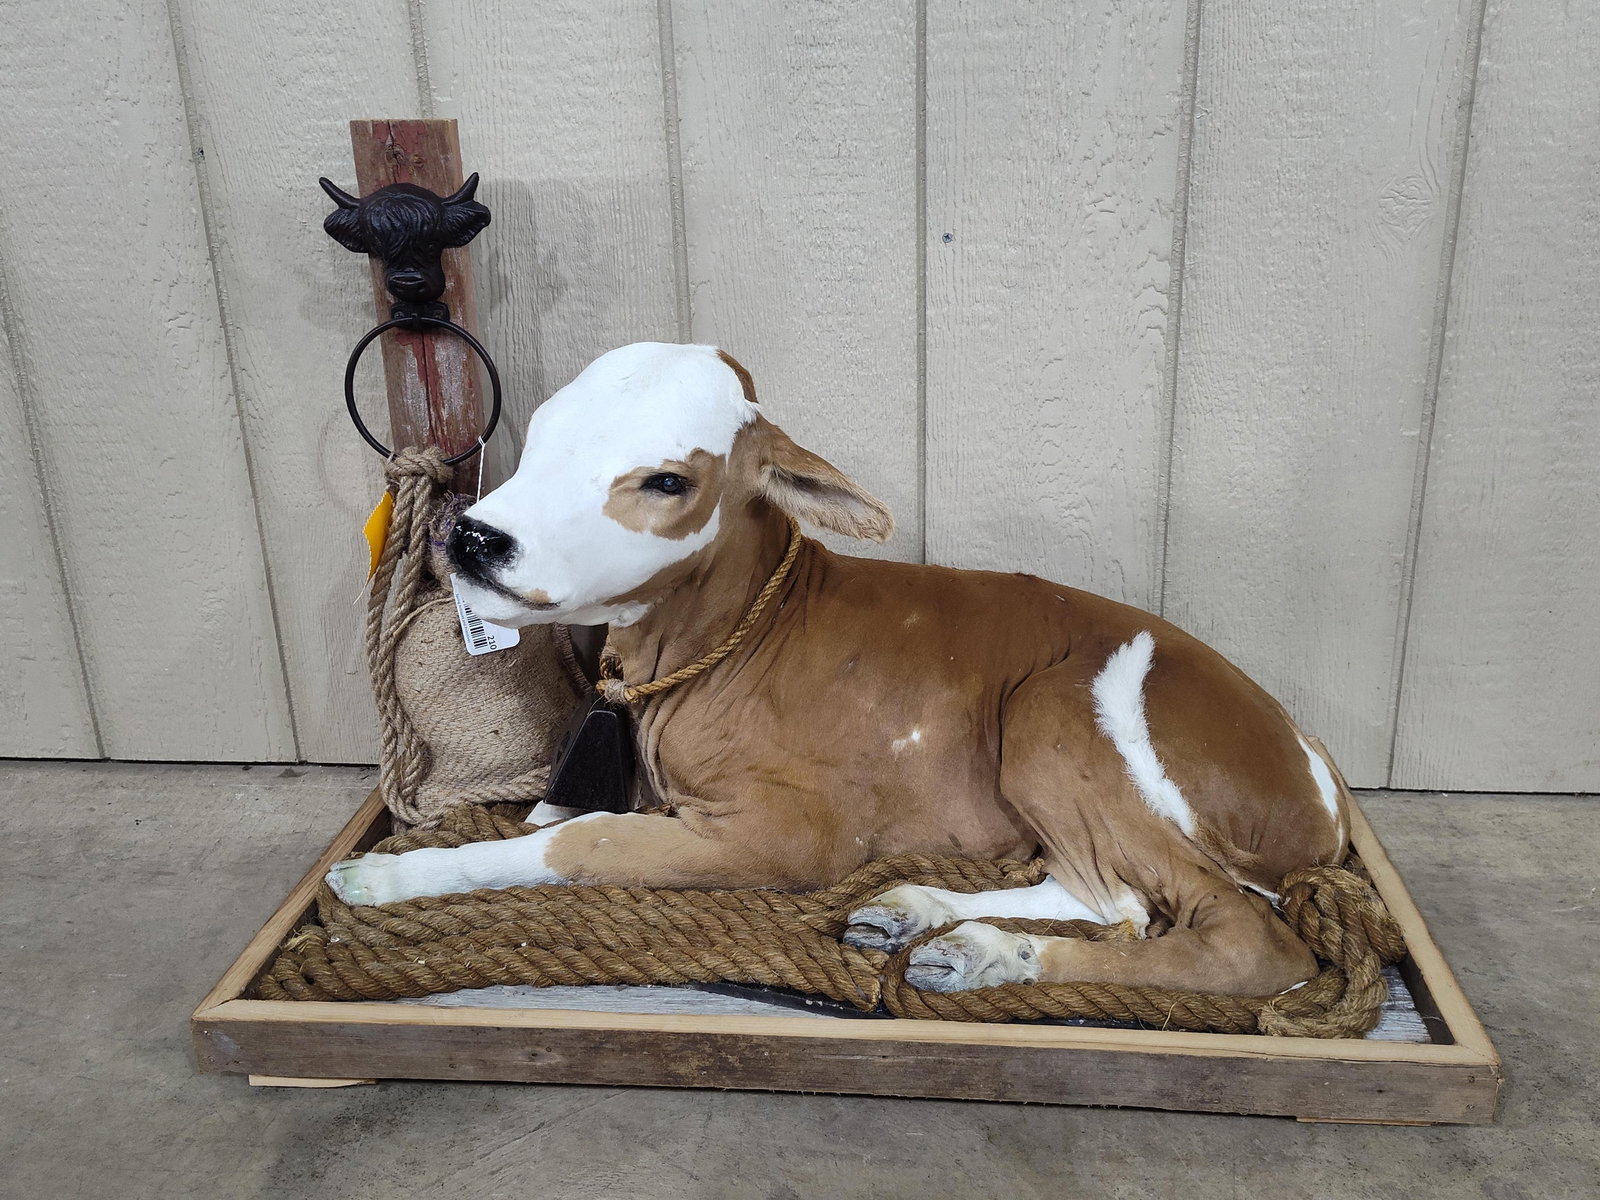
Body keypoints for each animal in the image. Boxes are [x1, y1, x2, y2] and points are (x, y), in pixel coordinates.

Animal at [326, 342, 1349, 998]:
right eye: (539, 432)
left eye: (669, 480)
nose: (475, 537)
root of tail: (1320, 790)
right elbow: (555, 818)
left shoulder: (790, 835)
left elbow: (570, 844)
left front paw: (383, 880)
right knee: (1114, 899)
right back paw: (926, 921)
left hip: (1055, 719)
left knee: (1234, 938)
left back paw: (983, 954)